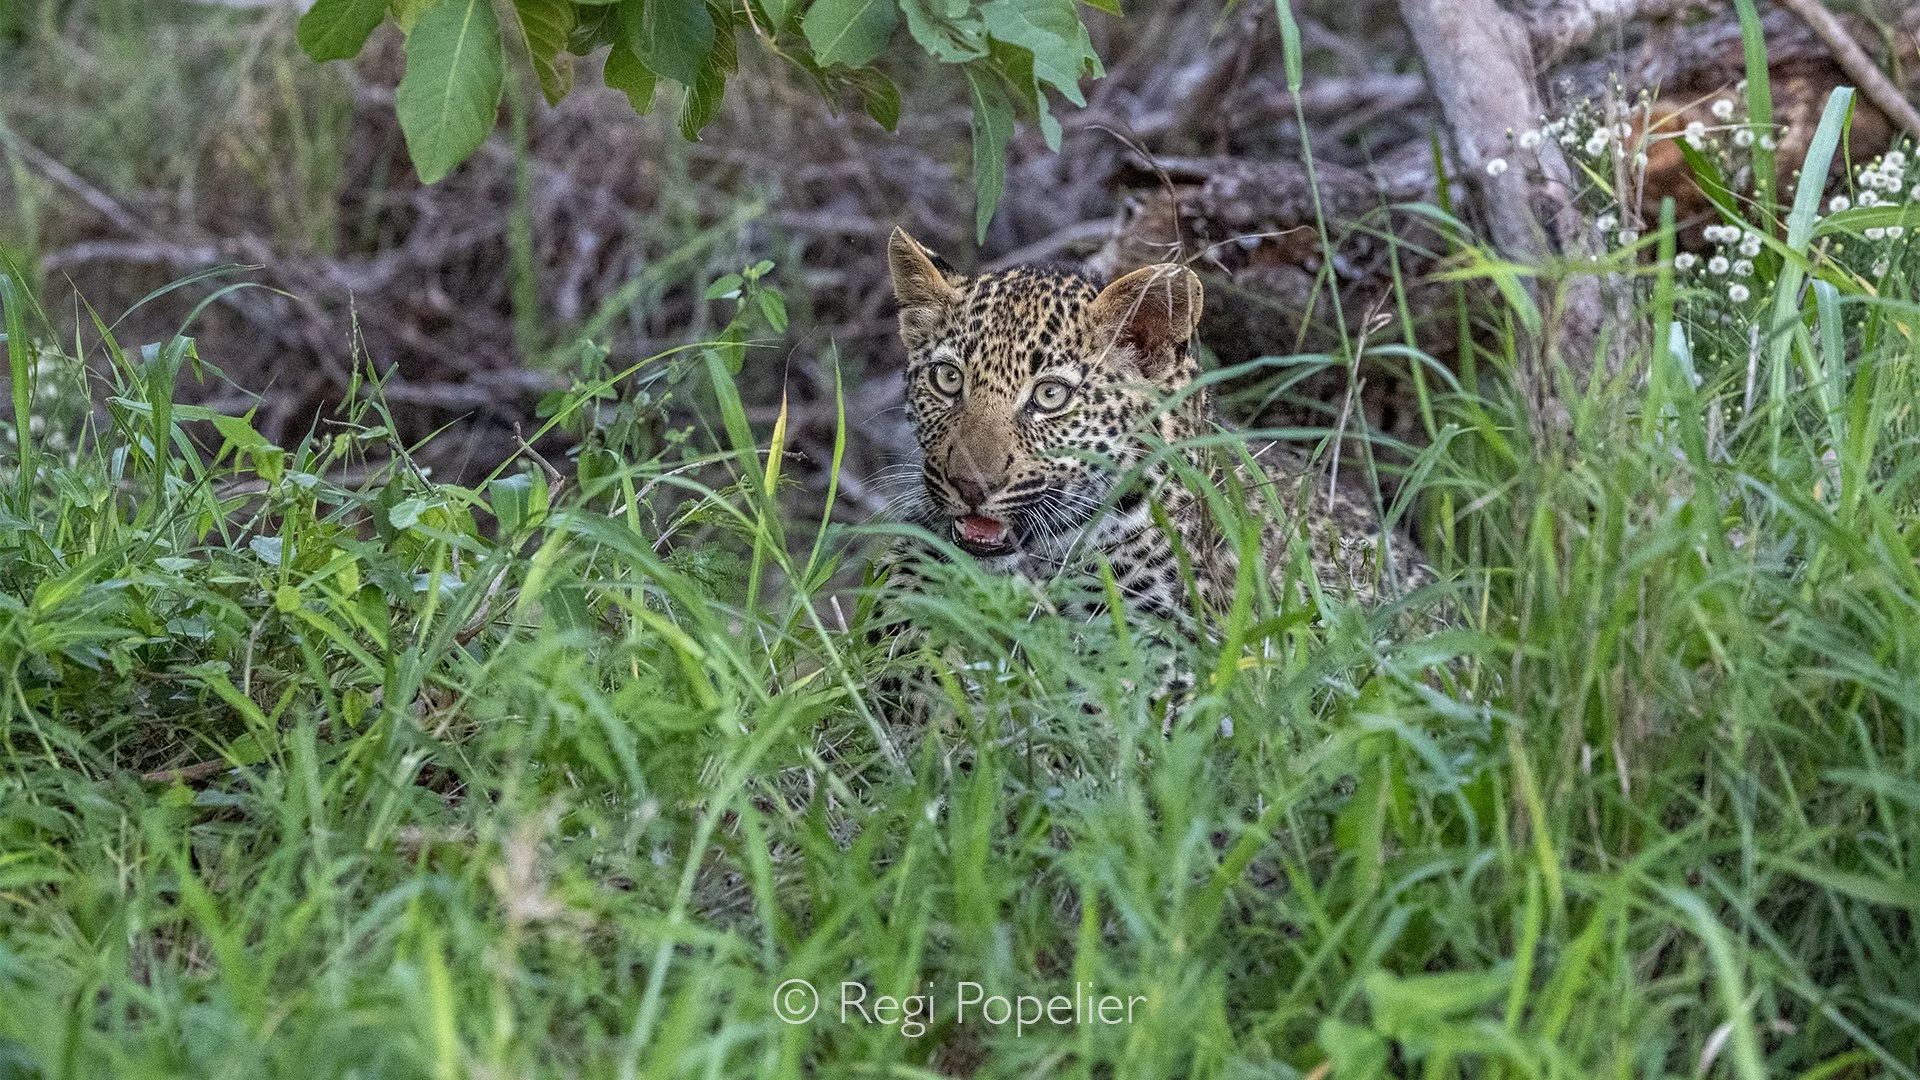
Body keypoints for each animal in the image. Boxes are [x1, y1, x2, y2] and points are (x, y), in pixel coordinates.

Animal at [868, 226, 1432, 715]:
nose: (970, 484)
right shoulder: (912, 570)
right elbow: (903, 638)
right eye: (947, 379)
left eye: (1050, 395)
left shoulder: (1175, 651)